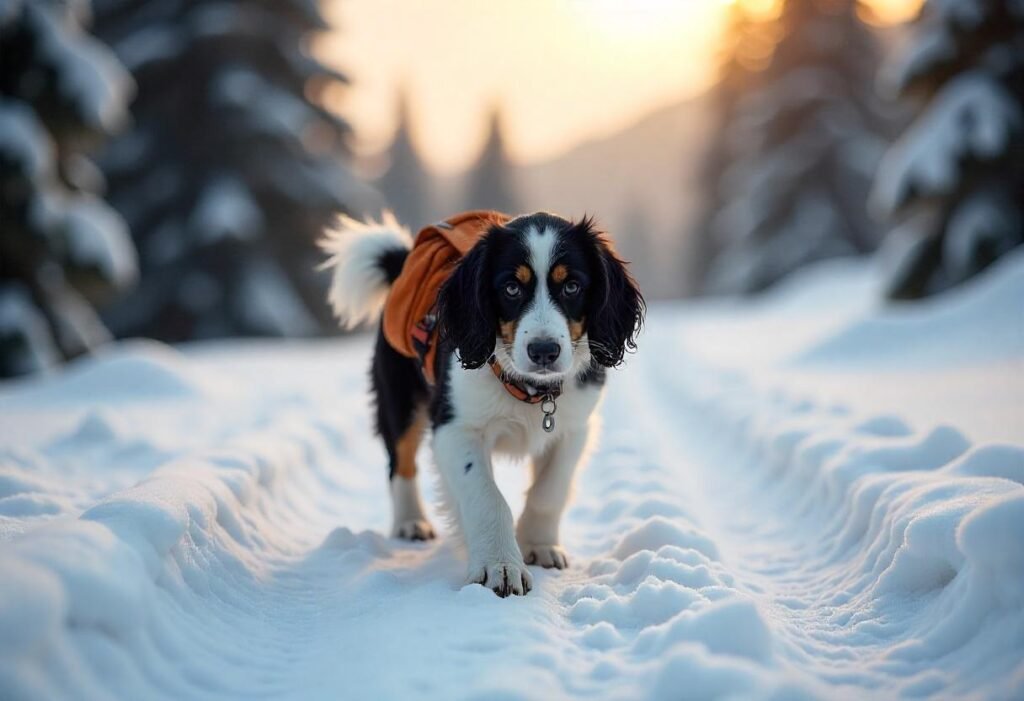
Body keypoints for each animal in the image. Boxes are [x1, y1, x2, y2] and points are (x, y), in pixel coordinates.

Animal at [319, 208, 643, 597]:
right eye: (511, 288)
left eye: (572, 286)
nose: (544, 351)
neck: (529, 389)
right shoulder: (455, 426)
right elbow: (486, 495)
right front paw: (499, 566)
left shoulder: (575, 426)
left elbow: (551, 487)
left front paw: (539, 544)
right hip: (399, 393)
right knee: (401, 461)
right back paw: (411, 523)